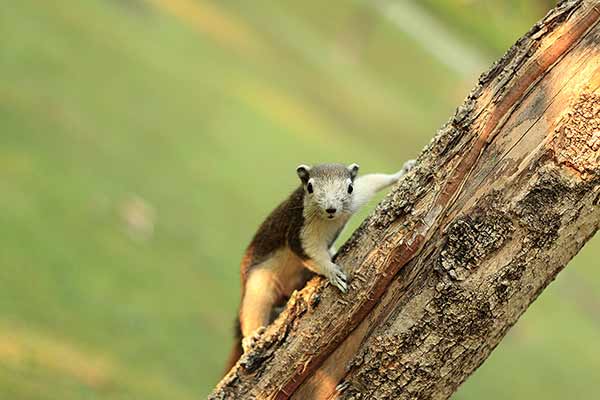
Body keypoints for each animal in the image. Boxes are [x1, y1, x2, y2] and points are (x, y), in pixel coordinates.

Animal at [223, 160, 414, 372]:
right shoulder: (300, 230)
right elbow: (310, 252)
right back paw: (251, 337)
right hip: (259, 283)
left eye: (349, 187)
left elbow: (372, 181)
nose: (331, 208)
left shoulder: (356, 198)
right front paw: (332, 272)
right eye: (310, 187)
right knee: (252, 308)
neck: (329, 220)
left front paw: (403, 171)